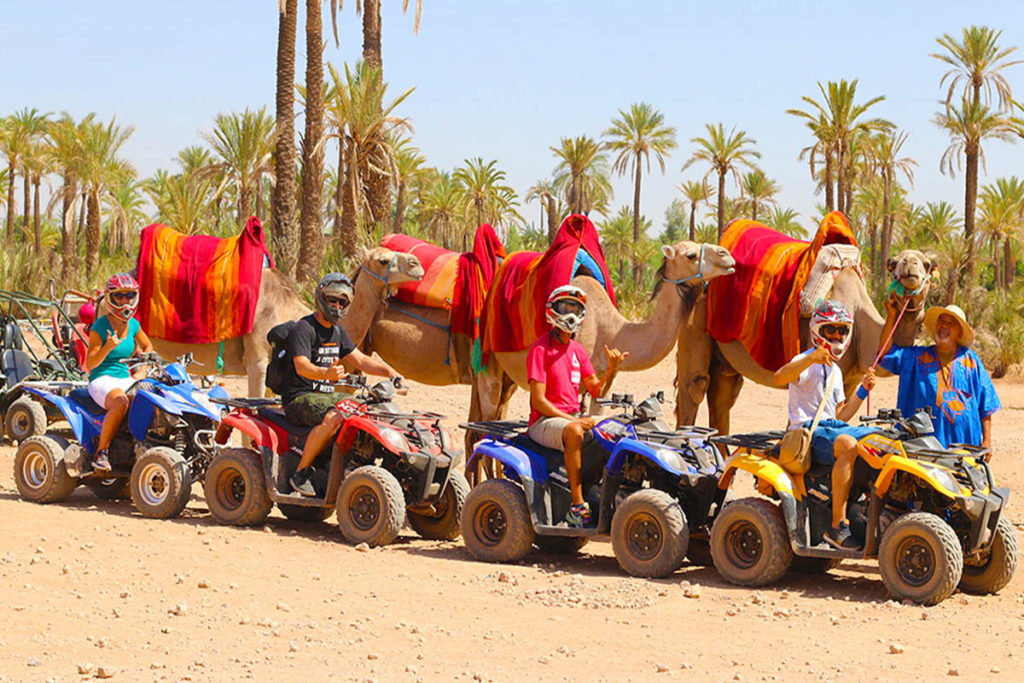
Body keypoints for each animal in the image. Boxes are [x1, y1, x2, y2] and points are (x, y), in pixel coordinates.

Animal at [675, 249, 933, 432]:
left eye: (928, 264)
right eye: (894, 263)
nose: (910, 264)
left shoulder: (849, 381)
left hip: (725, 359)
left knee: (722, 395)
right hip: (695, 322)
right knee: (694, 386)